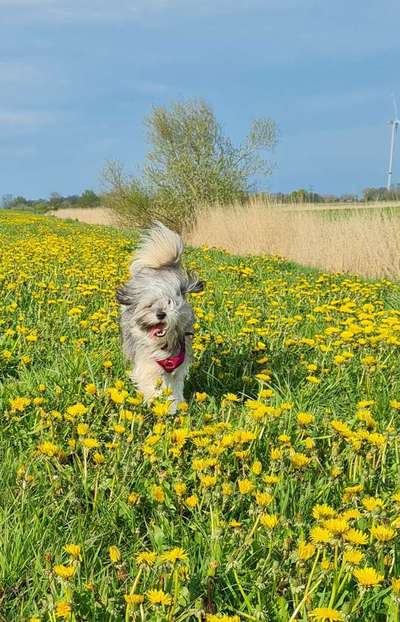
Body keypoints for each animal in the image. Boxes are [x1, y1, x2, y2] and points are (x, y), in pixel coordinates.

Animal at [116, 222, 203, 412]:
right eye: (149, 305)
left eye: (171, 303)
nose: (161, 314)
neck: (163, 344)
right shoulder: (147, 364)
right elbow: (152, 384)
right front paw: (158, 404)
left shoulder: (178, 368)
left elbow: (174, 388)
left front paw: (175, 405)